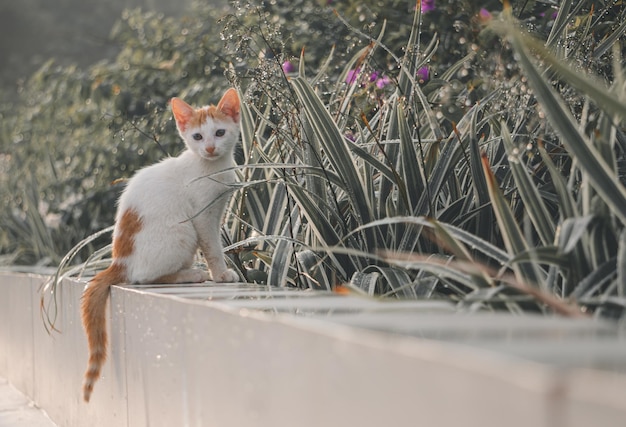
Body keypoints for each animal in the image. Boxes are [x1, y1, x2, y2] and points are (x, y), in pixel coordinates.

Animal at [81, 88, 241, 402]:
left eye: (219, 132)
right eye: (197, 137)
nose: (210, 149)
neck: (212, 168)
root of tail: (119, 260)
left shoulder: (218, 210)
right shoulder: (202, 216)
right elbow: (213, 246)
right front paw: (220, 273)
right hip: (182, 231)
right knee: (144, 278)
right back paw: (190, 274)